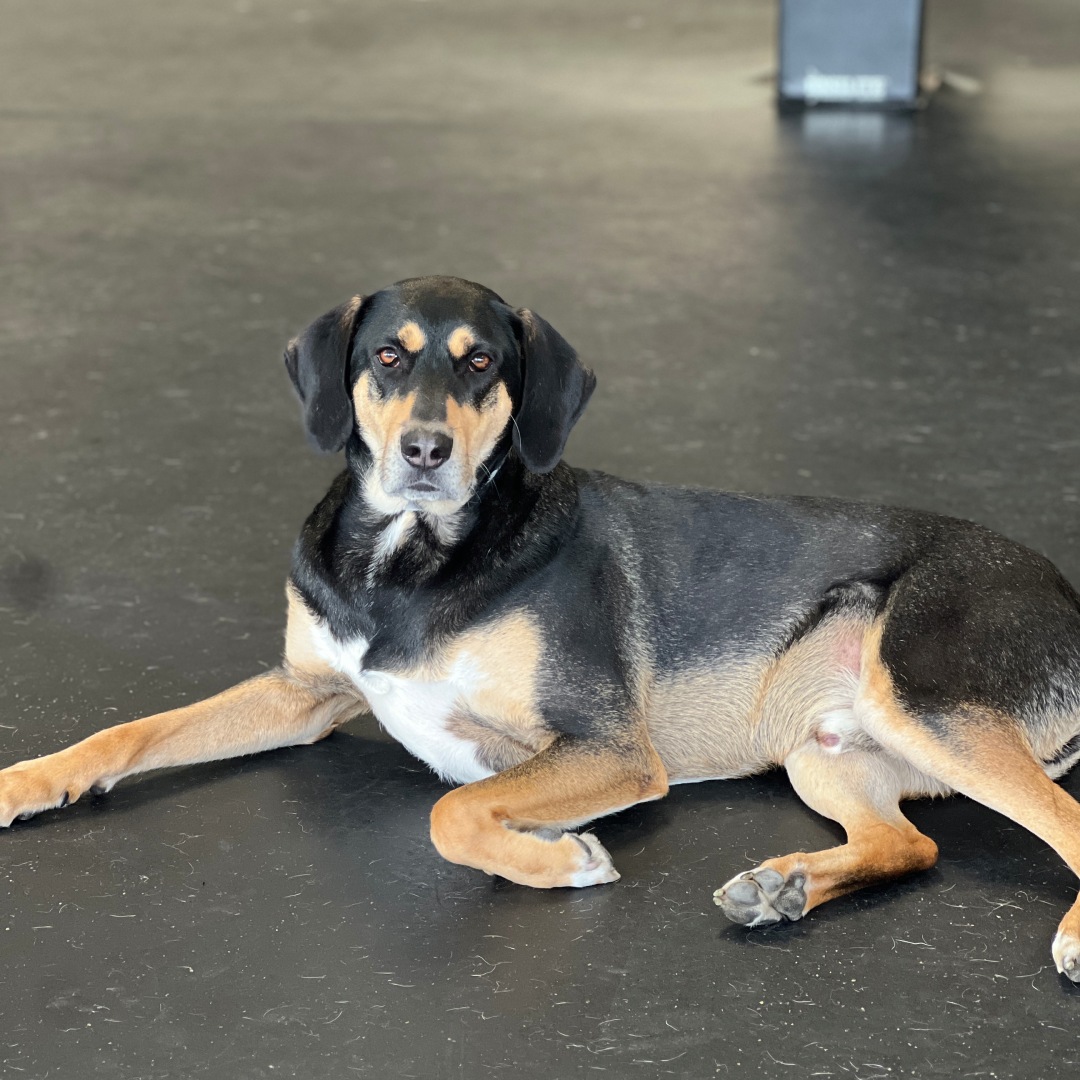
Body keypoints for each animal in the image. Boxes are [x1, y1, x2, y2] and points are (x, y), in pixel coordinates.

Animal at [2, 276, 1080, 980]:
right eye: (387, 356)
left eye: (482, 364)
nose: (424, 451)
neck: (413, 560)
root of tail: (1065, 591)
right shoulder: (303, 694)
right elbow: (135, 730)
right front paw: (31, 779)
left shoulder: (606, 746)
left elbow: (453, 815)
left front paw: (561, 862)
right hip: (828, 752)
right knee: (913, 848)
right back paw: (783, 888)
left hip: (925, 699)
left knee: (1062, 822)